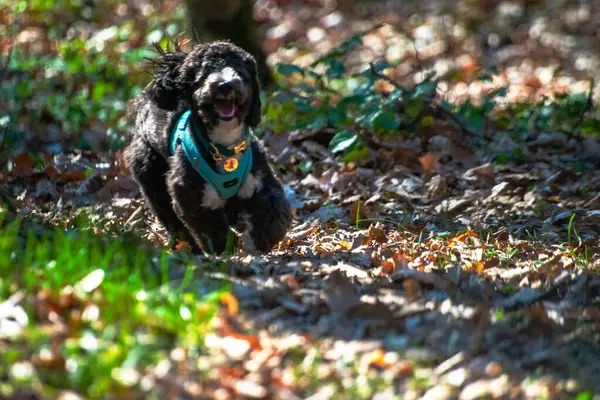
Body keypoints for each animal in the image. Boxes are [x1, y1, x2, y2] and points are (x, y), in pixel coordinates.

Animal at [125, 40, 292, 253]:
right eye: (204, 75)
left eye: (239, 70)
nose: (225, 84)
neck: (225, 146)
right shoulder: (191, 194)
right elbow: (210, 226)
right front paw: (224, 249)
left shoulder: (259, 179)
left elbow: (273, 210)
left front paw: (257, 242)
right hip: (149, 171)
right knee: (168, 215)